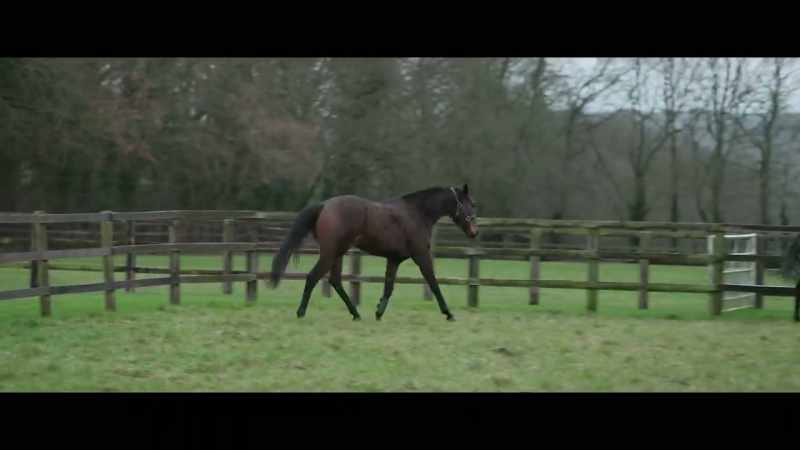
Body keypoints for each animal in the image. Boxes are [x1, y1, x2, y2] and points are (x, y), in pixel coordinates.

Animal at [268, 184, 479, 321]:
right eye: (470, 203)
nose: (474, 232)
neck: (416, 214)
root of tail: (324, 205)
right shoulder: (421, 256)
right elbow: (434, 283)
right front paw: (449, 313)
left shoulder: (394, 259)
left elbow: (388, 286)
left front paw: (378, 312)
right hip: (330, 253)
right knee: (313, 277)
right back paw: (301, 313)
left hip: (338, 254)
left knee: (335, 281)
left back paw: (356, 314)